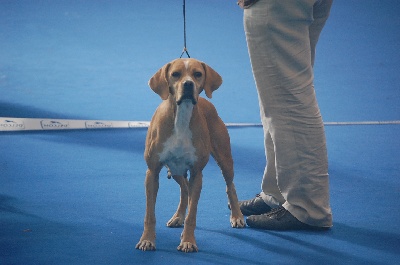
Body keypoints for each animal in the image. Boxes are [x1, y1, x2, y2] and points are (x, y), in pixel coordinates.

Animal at [136, 57, 245, 252]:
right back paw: (178, 216)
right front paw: (147, 239)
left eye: (197, 74)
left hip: (225, 160)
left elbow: (192, 214)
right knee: (184, 190)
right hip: (175, 170)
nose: (188, 84)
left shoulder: (196, 173)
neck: (181, 116)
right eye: (175, 74)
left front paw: (188, 241)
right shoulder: (152, 172)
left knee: (229, 186)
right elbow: (150, 213)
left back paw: (237, 216)